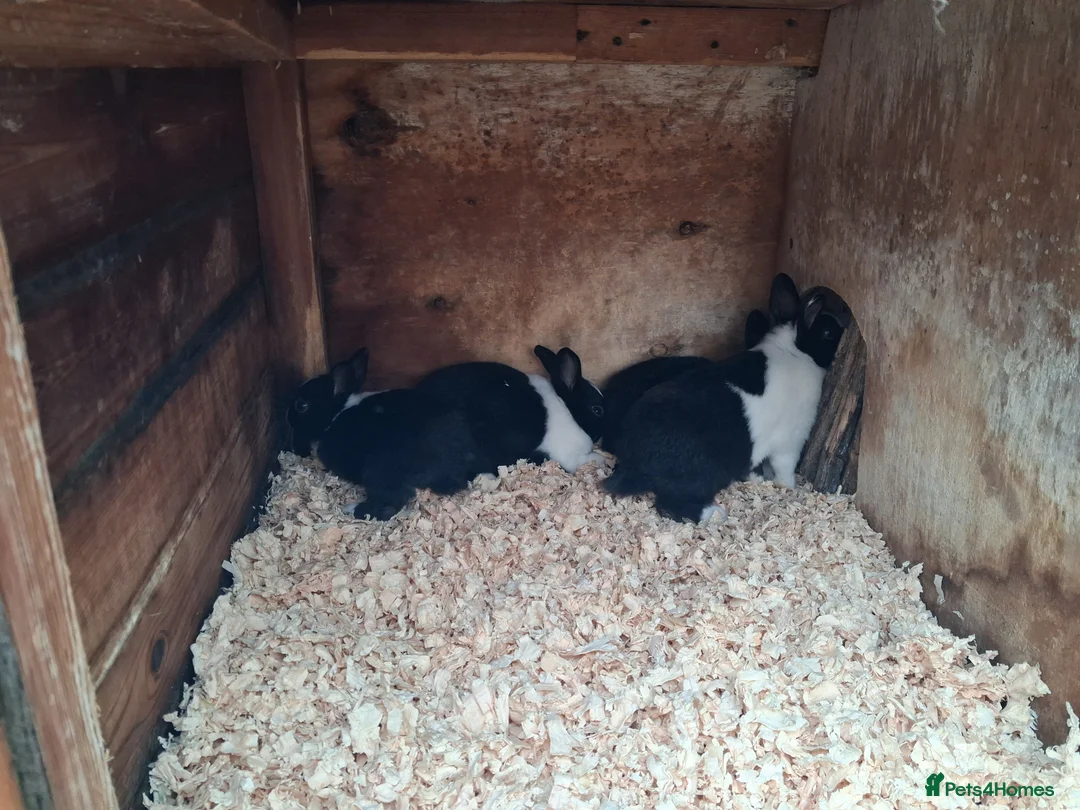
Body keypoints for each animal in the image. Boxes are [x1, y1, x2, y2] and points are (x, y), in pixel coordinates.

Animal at [286, 348, 494, 521]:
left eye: (301, 405)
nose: (288, 416)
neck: (336, 412)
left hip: (379, 472)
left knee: (391, 504)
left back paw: (352, 510)